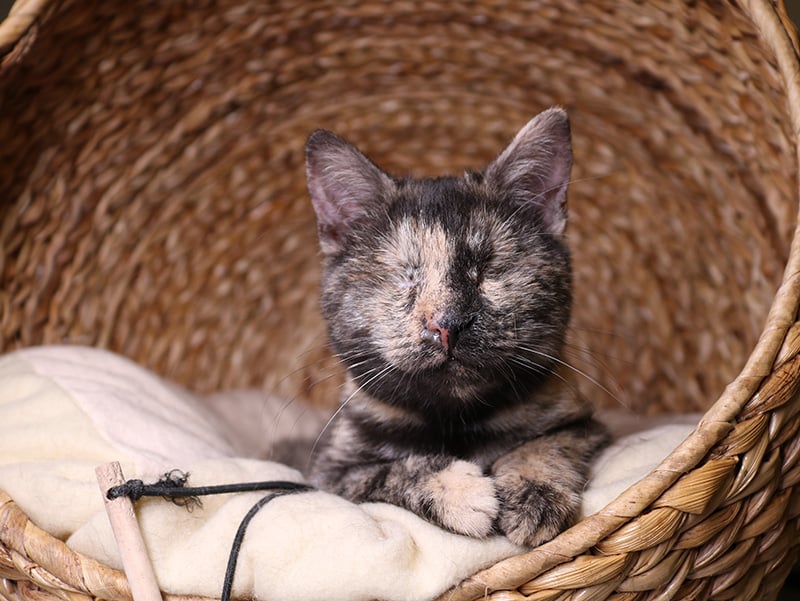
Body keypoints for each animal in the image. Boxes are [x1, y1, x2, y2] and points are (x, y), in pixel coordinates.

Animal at [304, 105, 608, 548]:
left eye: (488, 270)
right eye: (405, 276)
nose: (447, 323)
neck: (455, 420)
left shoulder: (586, 426)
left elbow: (546, 445)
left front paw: (536, 494)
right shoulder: (330, 474)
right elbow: (393, 470)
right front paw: (464, 493)